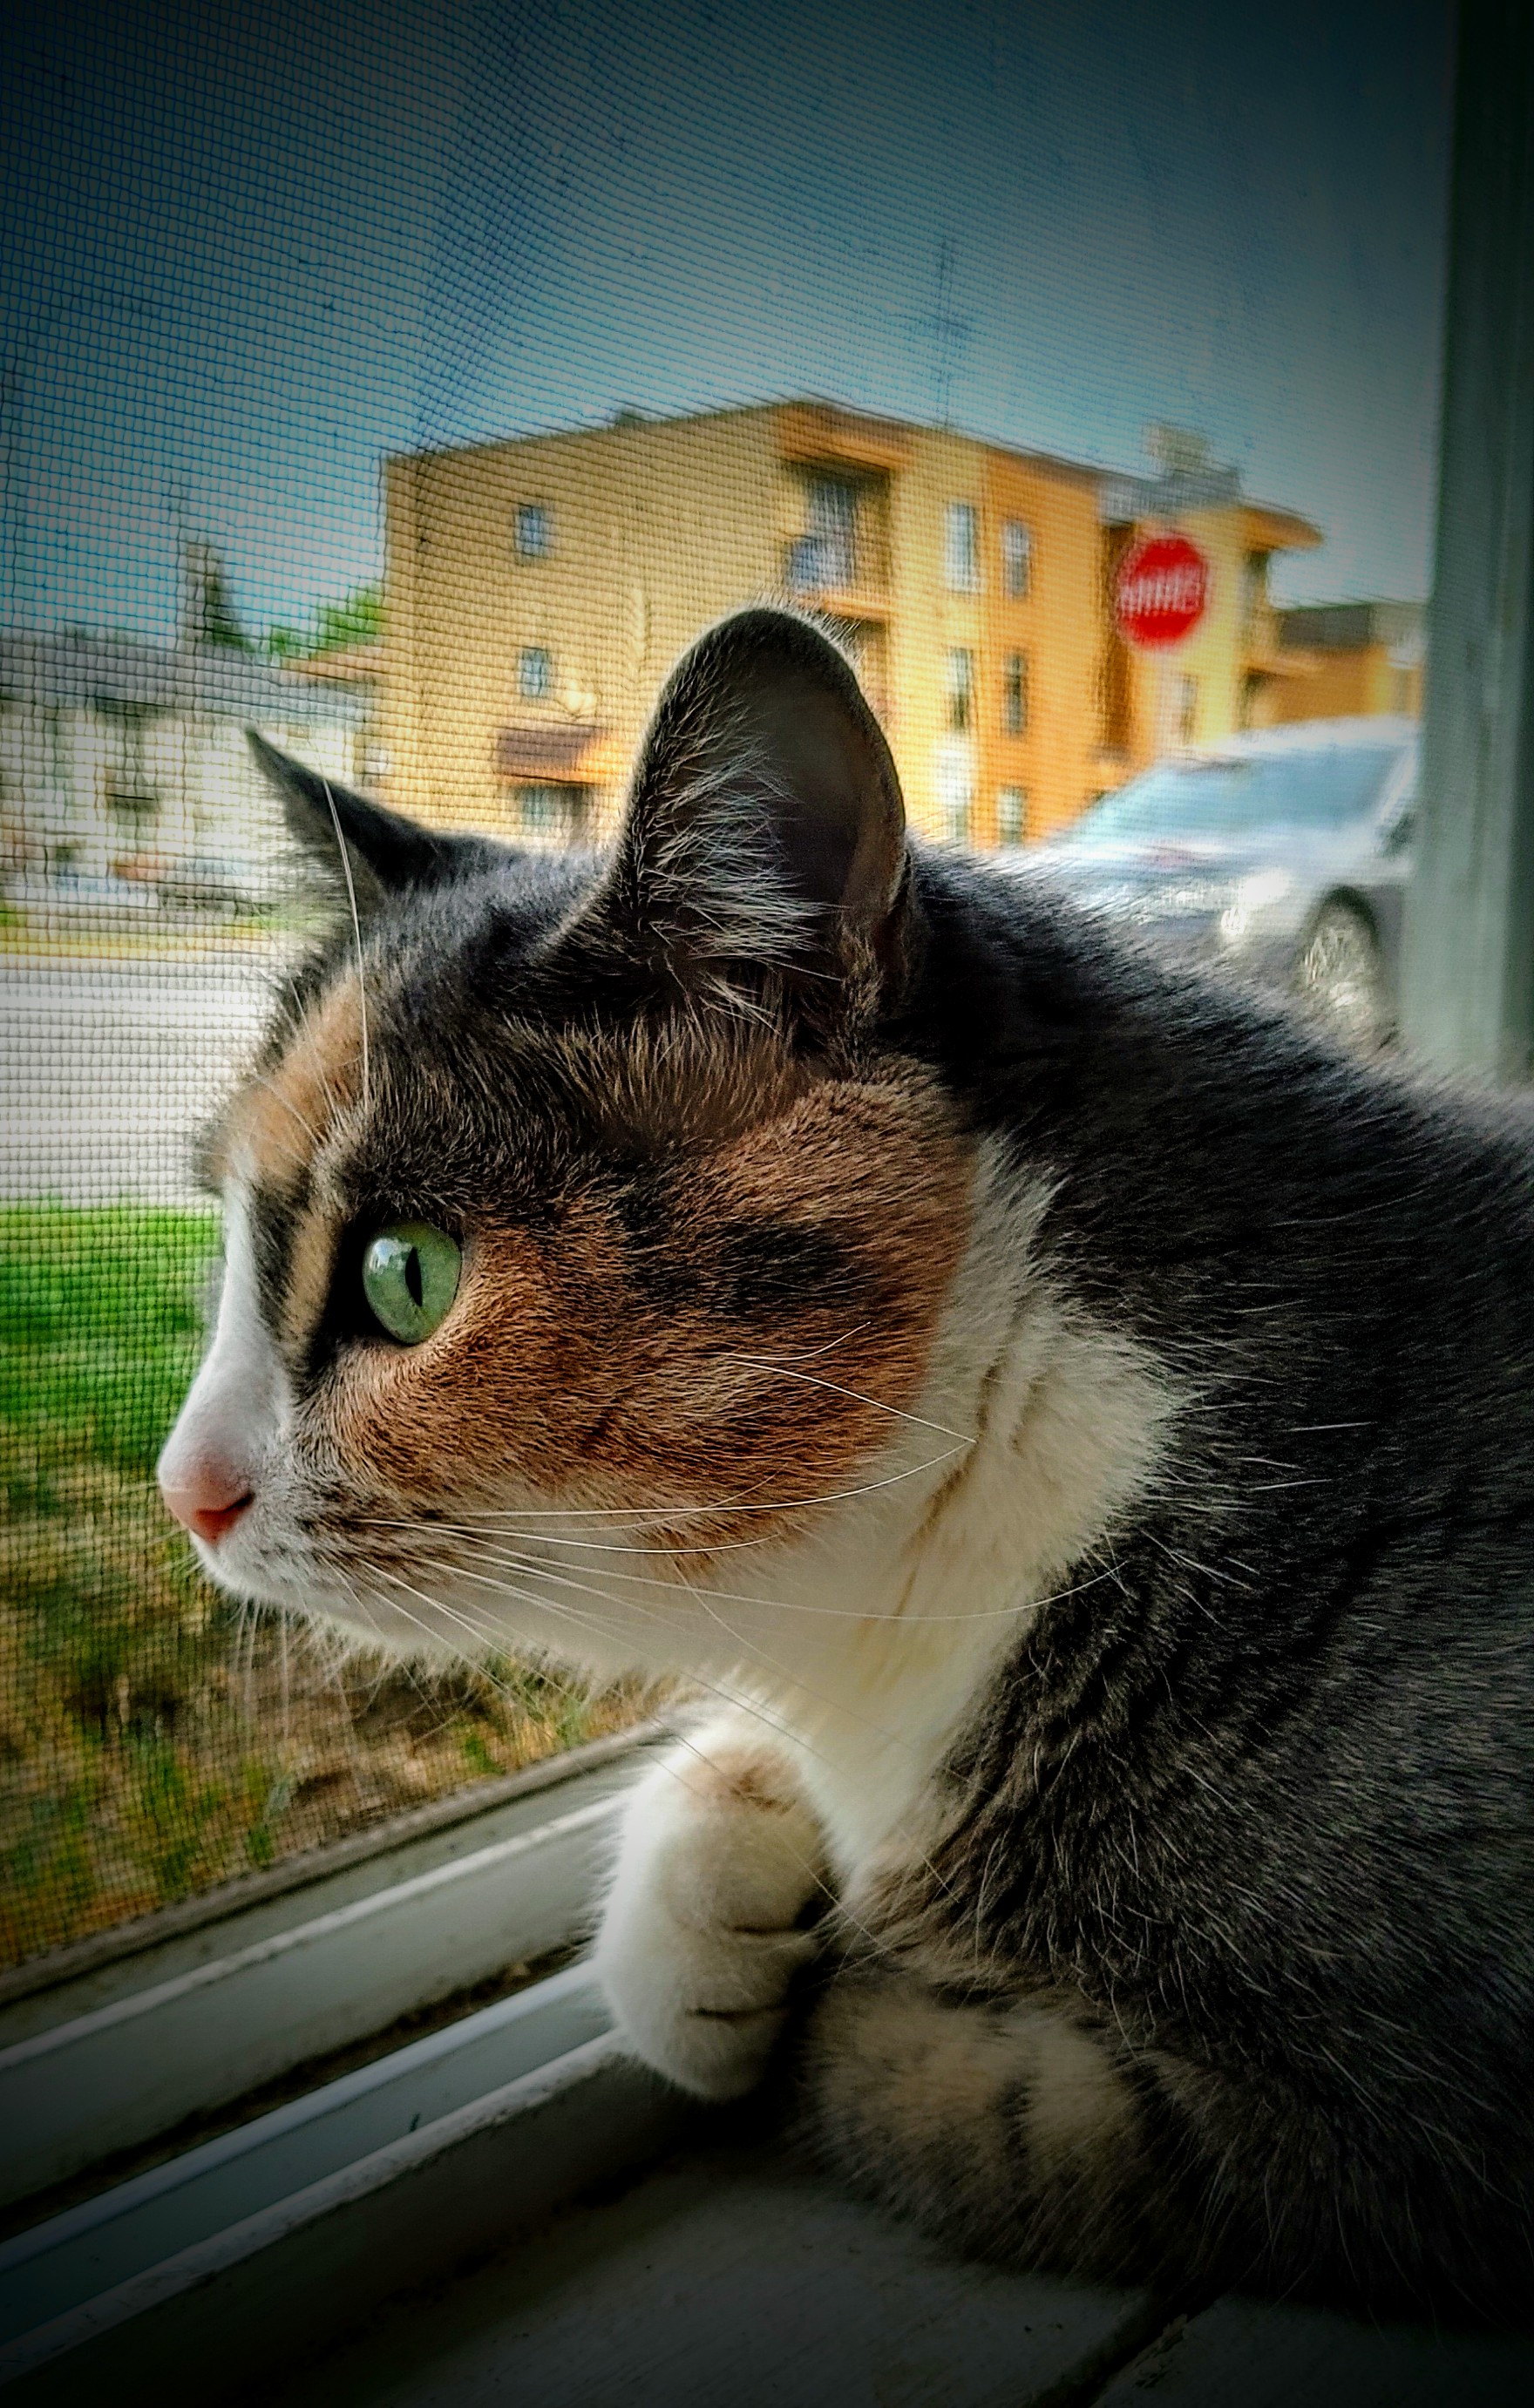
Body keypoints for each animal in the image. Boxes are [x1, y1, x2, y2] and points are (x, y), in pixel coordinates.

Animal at [158, 605, 1534, 2321]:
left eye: (408, 1273)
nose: (184, 1486)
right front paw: (708, 1912)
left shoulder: (1375, 2126)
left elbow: (952, 2105)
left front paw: (828, 1986)